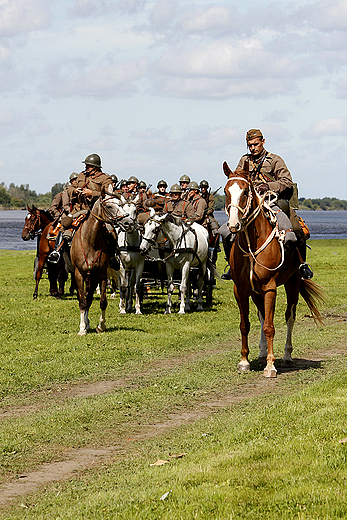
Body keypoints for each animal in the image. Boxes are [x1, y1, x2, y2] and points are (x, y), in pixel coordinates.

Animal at [70, 193, 133, 336]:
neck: (90, 241)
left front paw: (101, 325)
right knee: (85, 299)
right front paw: (82, 328)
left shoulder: (102, 274)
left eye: (120, 204)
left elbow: (103, 301)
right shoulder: (79, 274)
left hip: (93, 277)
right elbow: (82, 302)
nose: (128, 222)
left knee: (89, 298)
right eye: (109, 206)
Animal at [224, 162, 324, 378]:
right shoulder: (241, 290)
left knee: (289, 316)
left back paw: (286, 356)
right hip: (256, 292)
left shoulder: (270, 288)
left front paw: (271, 366)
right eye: (227, 191)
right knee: (262, 316)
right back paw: (262, 354)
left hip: (293, 283)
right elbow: (246, 325)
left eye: (245, 191)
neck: (252, 243)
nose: (233, 225)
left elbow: (270, 327)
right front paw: (244, 361)